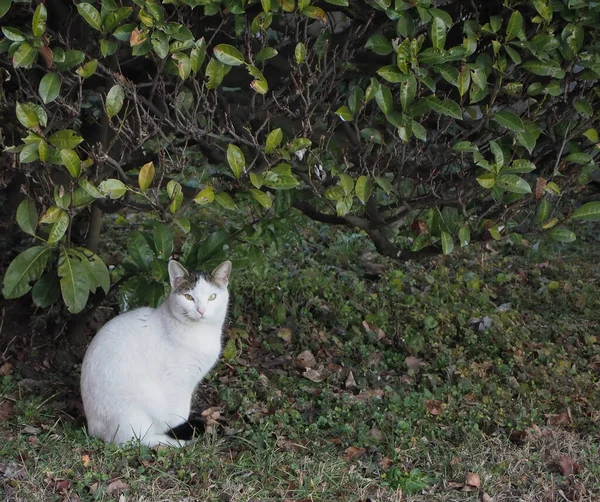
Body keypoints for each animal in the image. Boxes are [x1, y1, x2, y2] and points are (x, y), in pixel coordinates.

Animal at [79, 258, 230, 448]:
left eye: (212, 297)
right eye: (189, 297)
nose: (201, 311)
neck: (200, 333)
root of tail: (93, 428)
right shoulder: (176, 382)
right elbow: (178, 415)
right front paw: (179, 430)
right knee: (135, 440)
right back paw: (174, 441)